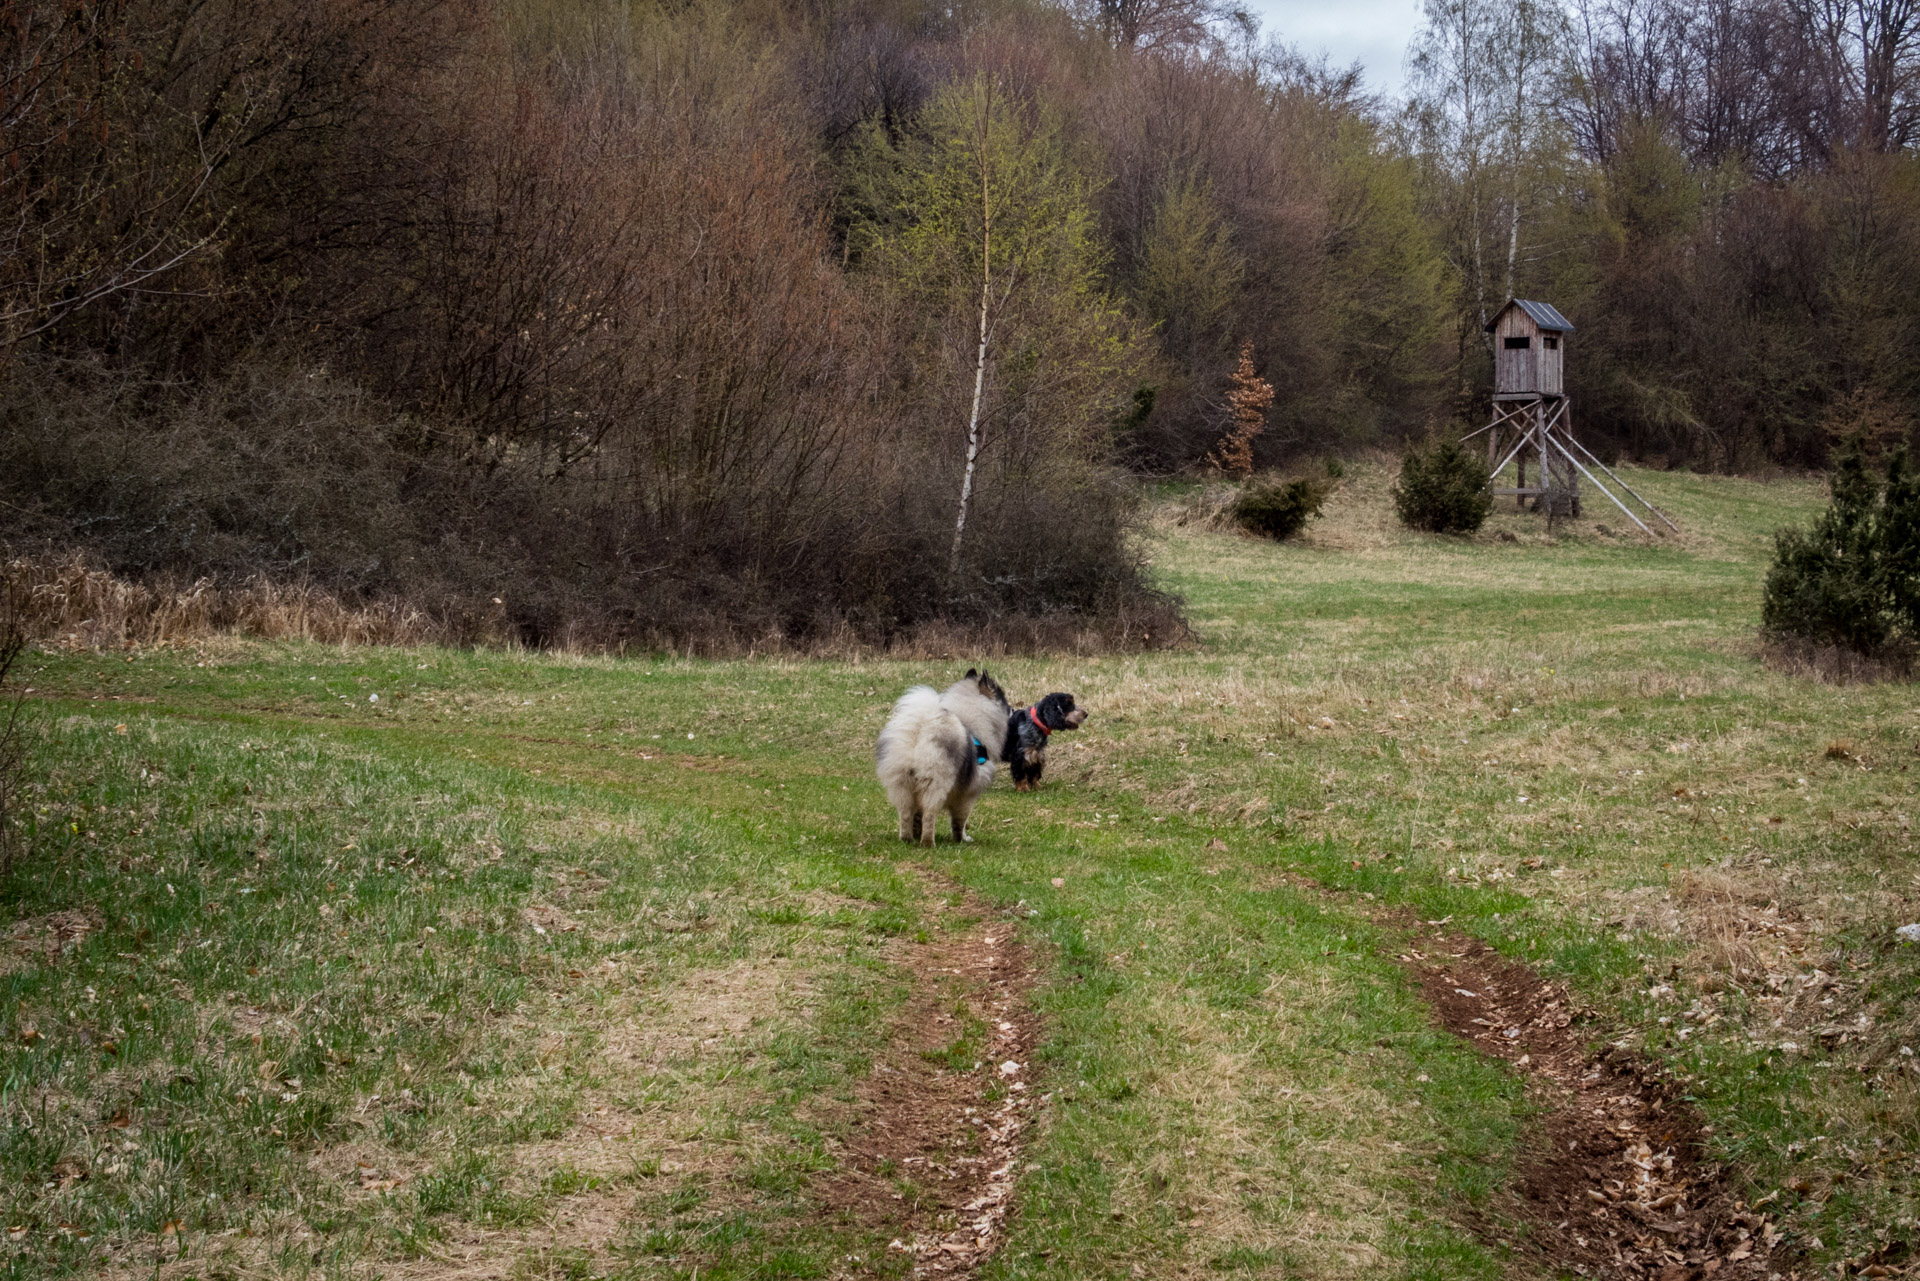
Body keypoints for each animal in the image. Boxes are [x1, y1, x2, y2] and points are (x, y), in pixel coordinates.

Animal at [875, 672, 1013, 852]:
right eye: (1003, 699)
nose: (1013, 709)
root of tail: (921, 728)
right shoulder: (968, 794)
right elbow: (960, 821)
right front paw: (962, 839)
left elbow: (917, 817)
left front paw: (916, 833)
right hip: (936, 783)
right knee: (929, 815)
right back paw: (928, 842)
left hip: (901, 783)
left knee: (905, 814)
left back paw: (907, 839)